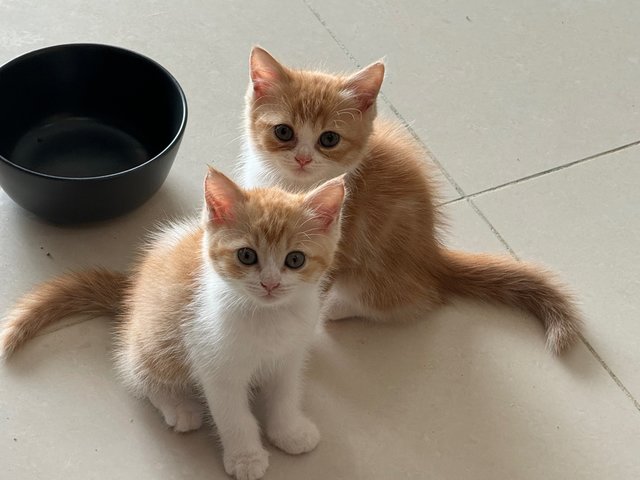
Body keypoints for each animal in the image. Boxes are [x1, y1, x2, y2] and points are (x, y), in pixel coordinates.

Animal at [0, 168, 348, 480]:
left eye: (295, 260)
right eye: (247, 256)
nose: (270, 284)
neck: (268, 316)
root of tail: (133, 290)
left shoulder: (290, 355)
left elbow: (285, 396)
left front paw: (289, 432)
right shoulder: (214, 363)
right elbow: (233, 416)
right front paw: (246, 457)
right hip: (156, 339)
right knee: (135, 371)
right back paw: (179, 407)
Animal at [238, 48, 584, 354]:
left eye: (329, 139)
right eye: (284, 132)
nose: (303, 159)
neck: (294, 185)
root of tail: (433, 257)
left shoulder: (336, 242)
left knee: (412, 301)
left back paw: (339, 307)